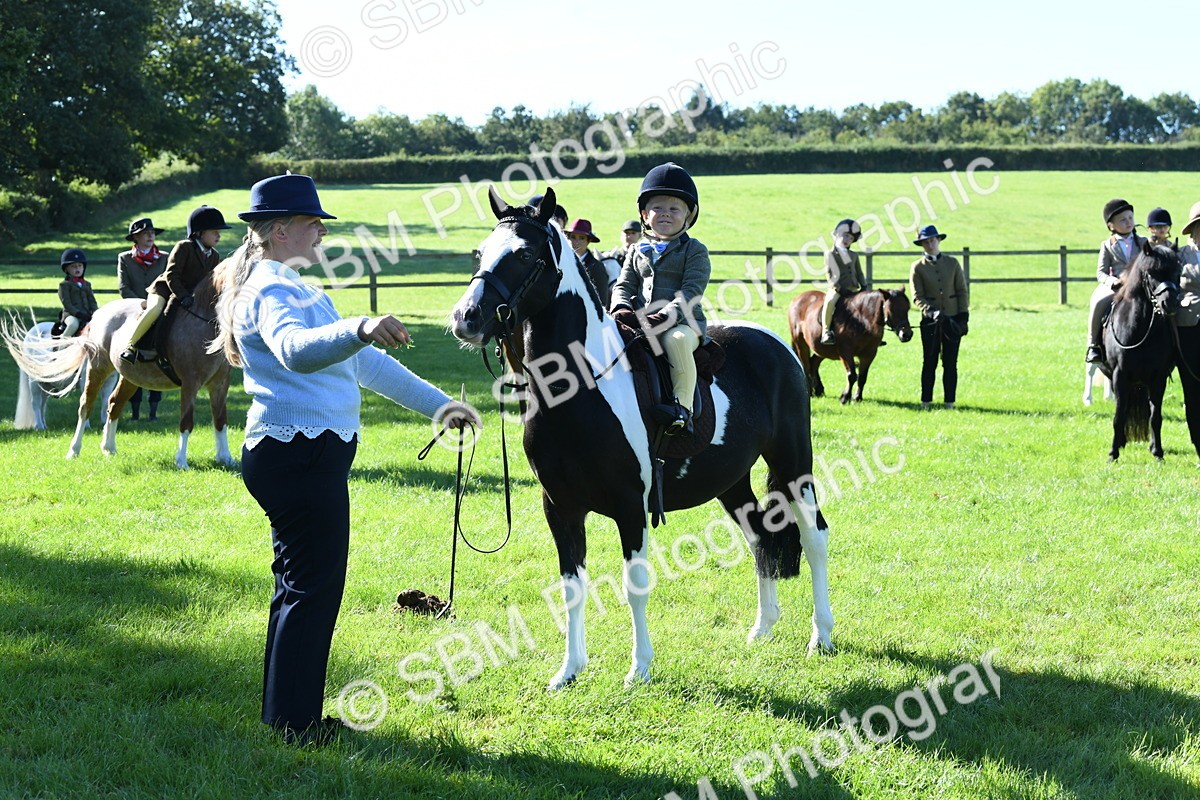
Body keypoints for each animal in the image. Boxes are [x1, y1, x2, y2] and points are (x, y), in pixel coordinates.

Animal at [3, 274, 233, 468]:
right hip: (88, 371)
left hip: (129, 376)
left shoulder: (220, 382)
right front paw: (182, 461)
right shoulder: (190, 382)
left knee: (112, 403)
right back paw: (69, 446)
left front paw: (226, 458)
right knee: (67, 403)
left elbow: (220, 418)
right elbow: (186, 420)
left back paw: (108, 448)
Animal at [450, 187, 833, 690]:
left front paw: (640, 669)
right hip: (732, 480)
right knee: (760, 538)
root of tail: (776, 343)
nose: (466, 318)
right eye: (481, 253)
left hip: (792, 465)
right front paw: (568, 671)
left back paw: (821, 637)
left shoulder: (631, 506)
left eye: (525, 254)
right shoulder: (560, 508)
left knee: (814, 536)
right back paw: (762, 628)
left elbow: (635, 586)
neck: (581, 385)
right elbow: (571, 587)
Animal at [1099, 241, 1182, 461]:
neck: (1141, 327)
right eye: (1151, 272)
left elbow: (1155, 416)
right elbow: (1119, 415)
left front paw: (1158, 453)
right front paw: (1113, 454)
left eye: (1177, 271)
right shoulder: (1120, 376)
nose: (1170, 303)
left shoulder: (1158, 378)